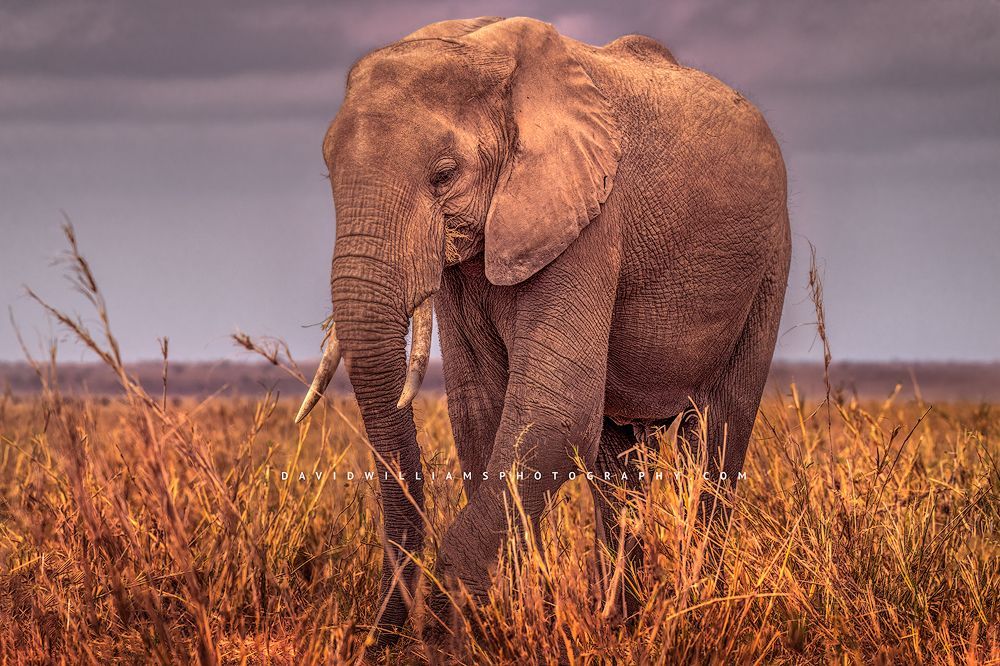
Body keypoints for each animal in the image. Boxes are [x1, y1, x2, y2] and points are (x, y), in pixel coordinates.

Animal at [294, 16, 791, 643]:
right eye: (328, 172)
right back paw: (621, 624)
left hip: (769, 262)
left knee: (719, 434)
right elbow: (481, 411)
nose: (379, 639)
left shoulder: (590, 218)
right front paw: (493, 622)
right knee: (617, 460)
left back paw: (698, 609)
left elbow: (554, 413)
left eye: (444, 175)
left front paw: (449, 637)